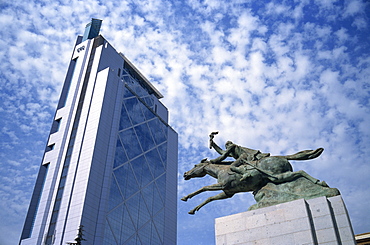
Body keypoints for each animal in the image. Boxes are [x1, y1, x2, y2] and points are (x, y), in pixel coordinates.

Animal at [182, 155, 326, 214]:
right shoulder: (228, 192)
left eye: (195, 165)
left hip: (279, 175)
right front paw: (193, 209)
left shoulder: (223, 185)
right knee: (299, 172)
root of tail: (283, 158)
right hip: (278, 177)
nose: (185, 174)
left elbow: (204, 188)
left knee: (300, 172)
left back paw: (321, 183)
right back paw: (320, 183)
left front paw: (186, 197)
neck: (220, 171)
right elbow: (210, 198)